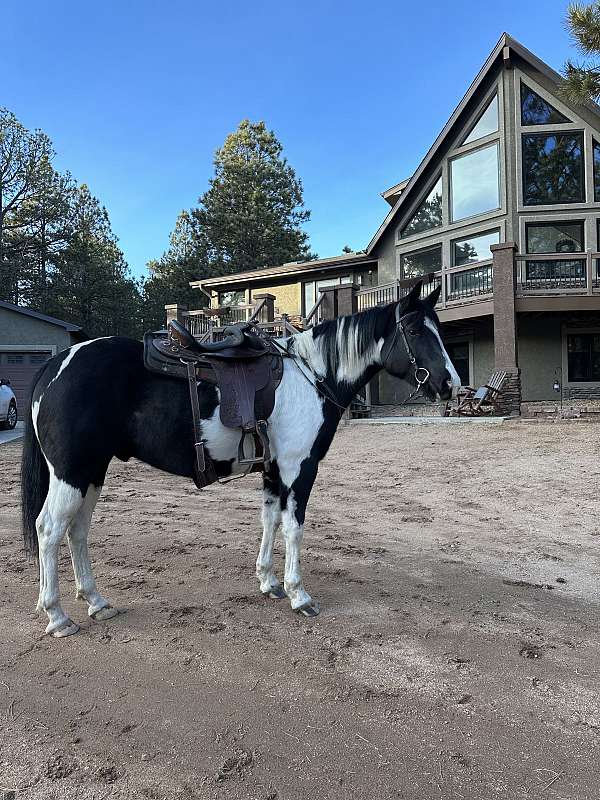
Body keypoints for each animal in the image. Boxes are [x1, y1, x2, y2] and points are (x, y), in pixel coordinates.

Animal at [19, 282, 460, 636]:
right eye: (416, 330)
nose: (451, 383)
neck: (311, 375)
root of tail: (57, 362)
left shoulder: (274, 471)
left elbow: (269, 521)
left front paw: (269, 582)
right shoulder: (299, 468)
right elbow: (293, 528)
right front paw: (299, 594)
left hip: (92, 472)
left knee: (77, 530)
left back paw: (95, 602)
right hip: (72, 472)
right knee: (49, 529)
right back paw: (57, 615)